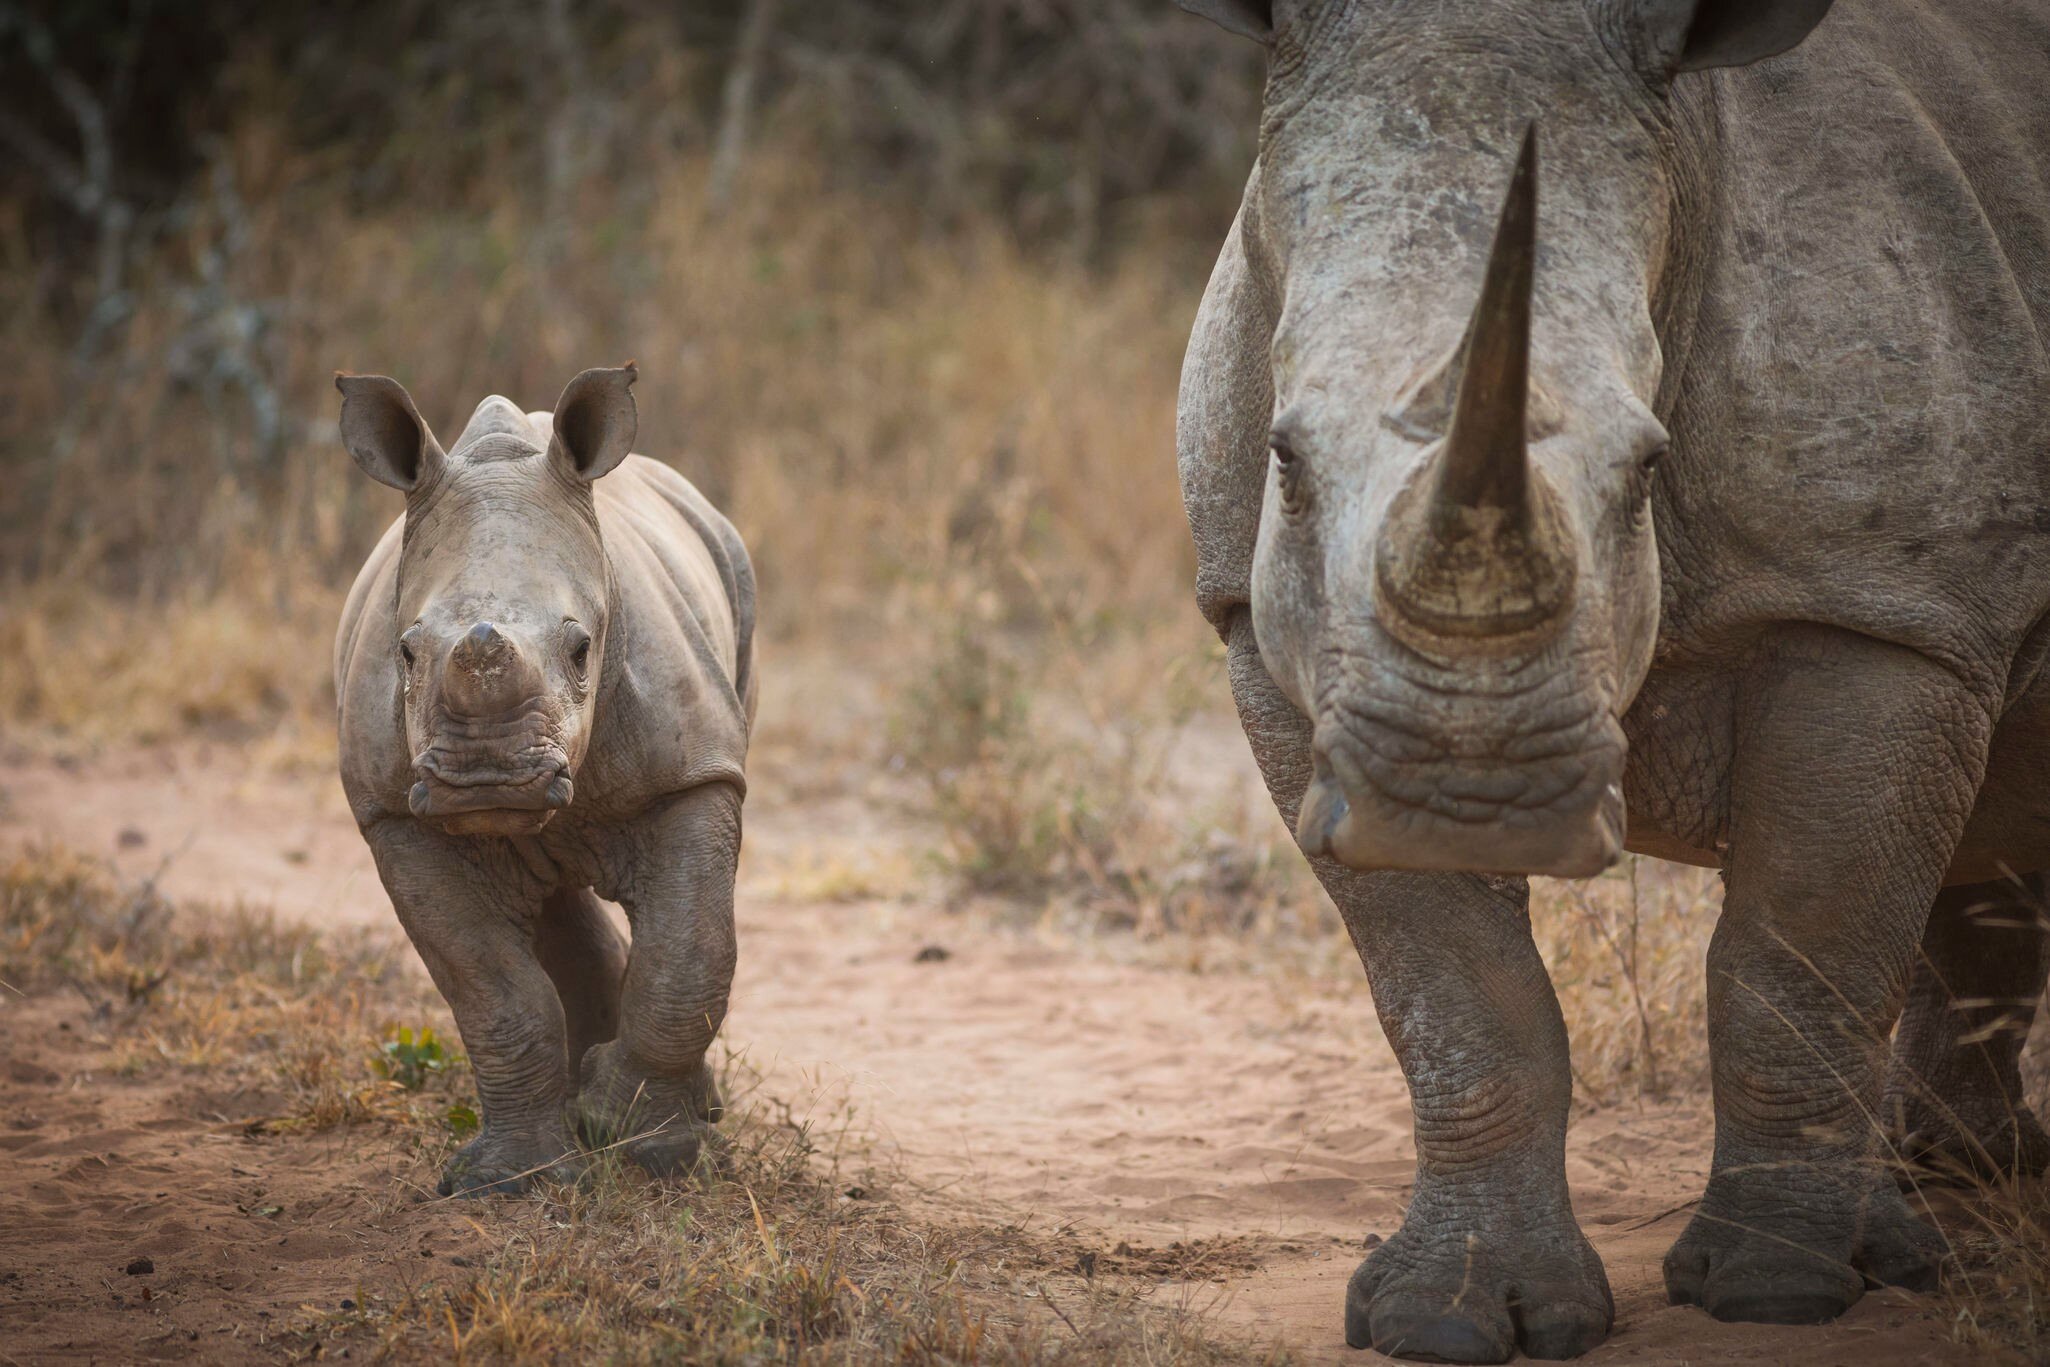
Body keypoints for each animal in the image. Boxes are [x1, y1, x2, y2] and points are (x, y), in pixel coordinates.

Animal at [332, 365, 756, 1195]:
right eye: (405, 652)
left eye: (582, 649)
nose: (486, 775)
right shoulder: (393, 814)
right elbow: (491, 988)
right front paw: (511, 1180)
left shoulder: (695, 774)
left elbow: (691, 954)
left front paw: (649, 1147)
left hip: (733, 568)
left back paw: (672, 1110)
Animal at [1175, 0, 2050, 1358]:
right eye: (1284, 458)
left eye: (1646, 469)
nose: (1464, 792)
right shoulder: (1257, 633)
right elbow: (1455, 997)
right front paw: (1451, 1312)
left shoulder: (1878, 604)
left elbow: (1799, 956)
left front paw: (1777, 1289)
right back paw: (1949, 1181)